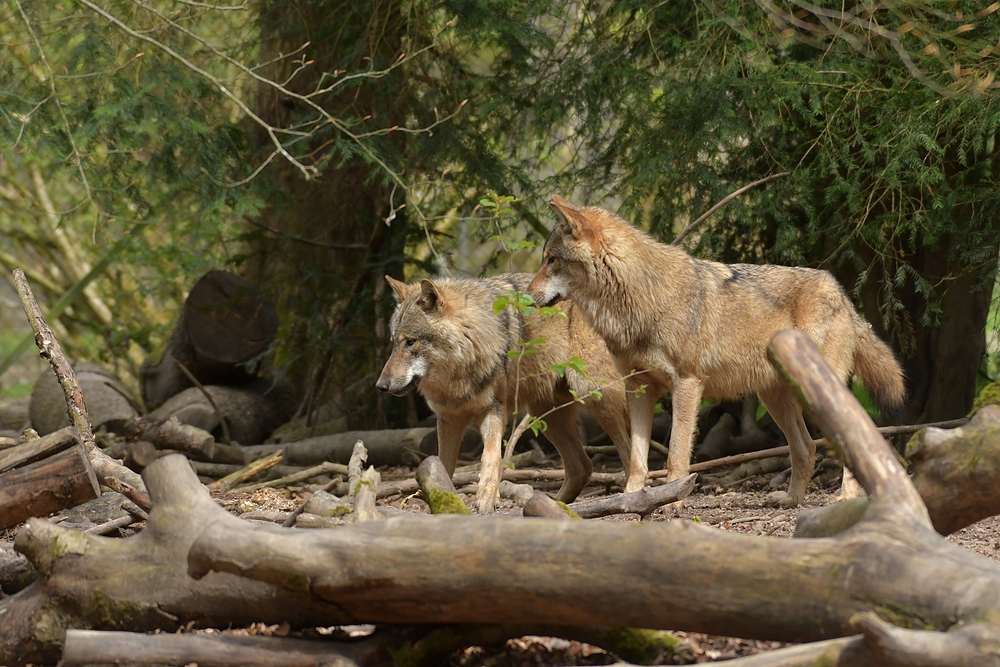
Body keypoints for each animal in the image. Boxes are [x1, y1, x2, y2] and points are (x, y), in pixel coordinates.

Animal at [376, 274, 632, 516]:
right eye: (393, 343)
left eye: (411, 342)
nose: (381, 386)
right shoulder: (449, 419)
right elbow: (442, 465)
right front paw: (442, 504)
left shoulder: (494, 409)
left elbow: (490, 456)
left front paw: (486, 499)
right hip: (546, 417)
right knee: (582, 466)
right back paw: (552, 507)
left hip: (595, 396)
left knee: (628, 451)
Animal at [532, 196, 908, 508]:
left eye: (551, 260)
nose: (527, 294)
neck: (638, 298)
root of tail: (841, 292)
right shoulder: (638, 388)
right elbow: (637, 461)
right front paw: (629, 501)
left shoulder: (687, 384)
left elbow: (675, 455)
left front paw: (671, 504)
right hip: (777, 400)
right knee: (807, 447)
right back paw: (791, 500)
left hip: (817, 394)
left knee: (856, 440)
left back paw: (845, 499)